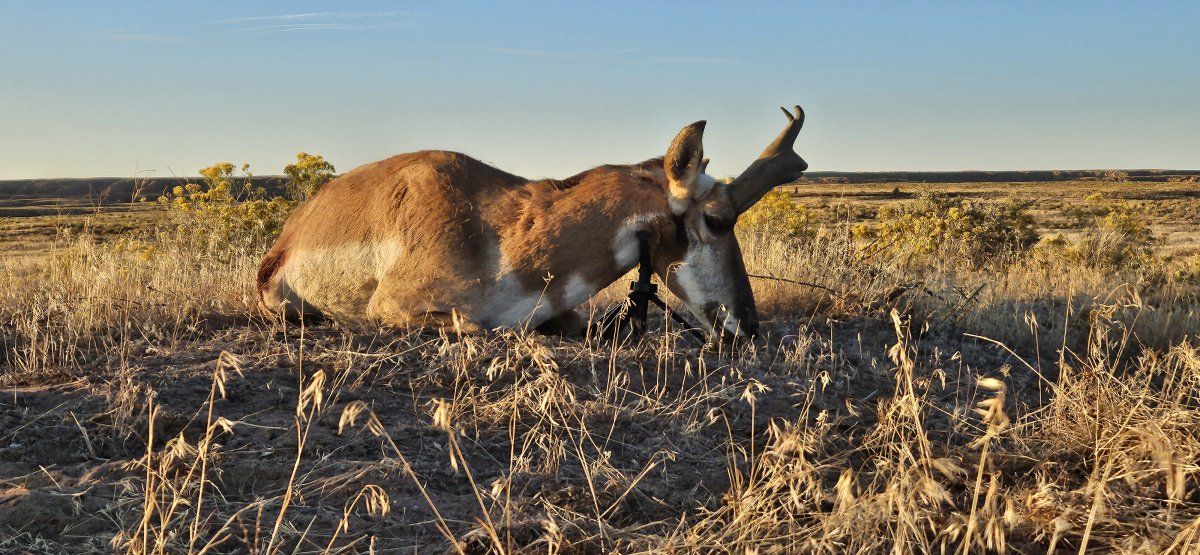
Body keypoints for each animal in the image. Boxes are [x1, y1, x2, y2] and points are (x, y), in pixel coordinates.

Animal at [258, 104, 811, 338]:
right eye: (717, 218)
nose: (749, 326)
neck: (500, 236)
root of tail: (294, 229)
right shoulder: (393, 305)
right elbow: (479, 327)